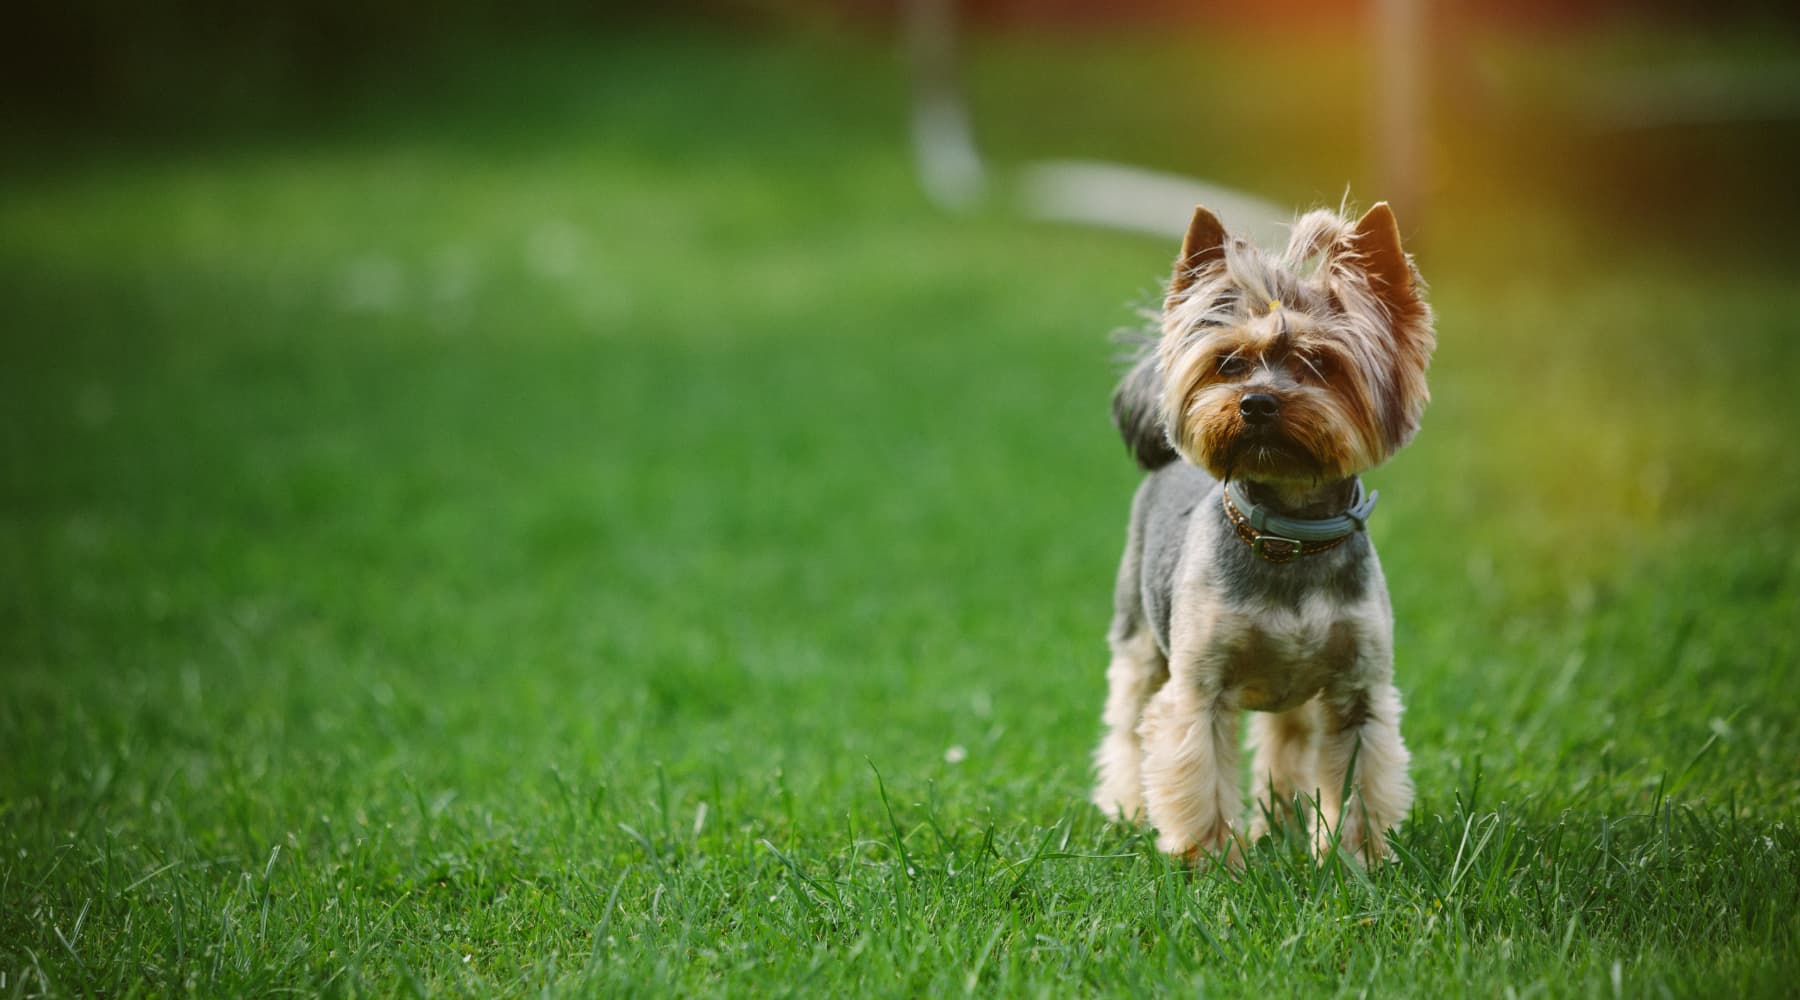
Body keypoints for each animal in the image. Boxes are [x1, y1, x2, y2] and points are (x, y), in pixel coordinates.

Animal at [1087, 201, 1440, 866]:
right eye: (1228, 362)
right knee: (1127, 723)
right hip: (1139, 634)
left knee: (1285, 741)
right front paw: (1212, 865)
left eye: (1320, 363)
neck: (1291, 536)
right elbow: (1199, 777)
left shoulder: (1359, 691)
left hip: (1293, 693)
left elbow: (1358, 784)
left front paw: (1353, 864)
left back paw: (1277, 826)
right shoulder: (1201, 688)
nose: (1254, 403)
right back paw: (1127, 811)